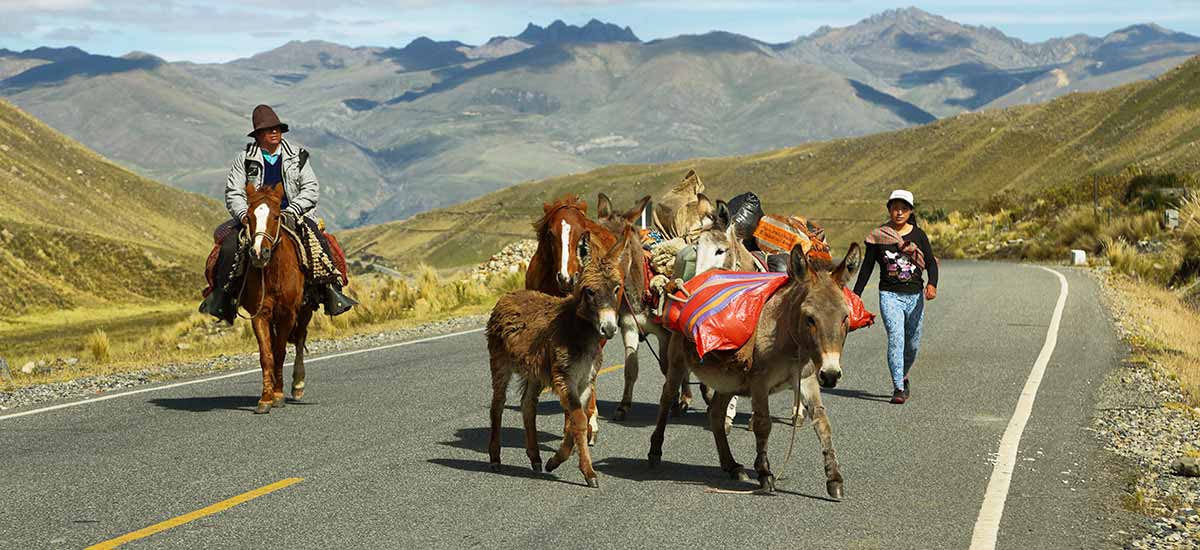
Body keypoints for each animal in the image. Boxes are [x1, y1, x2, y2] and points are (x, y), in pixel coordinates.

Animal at [237, 182, 312, 415]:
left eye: (277, 216)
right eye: (248, 217)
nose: (259, 253)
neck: (274, 273)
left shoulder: (288, 314)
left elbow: (279, 352)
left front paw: (278, 395)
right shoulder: (260, 314)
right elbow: (267, 355)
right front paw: (266, 398)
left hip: (304, 312)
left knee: (300, 340)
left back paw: (298, 385)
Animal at [484, 229, 628, 487]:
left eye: (616, 288)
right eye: (590, 291)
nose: (609, 329)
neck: (577, 328)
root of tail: (507, 295)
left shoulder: (585, 380)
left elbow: (577, 420)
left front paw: (554, 461)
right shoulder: (564, 377)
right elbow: (578, 420)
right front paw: (589, 473)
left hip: (535, 373)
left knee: (527, 405)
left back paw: (535, 459)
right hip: (500, 363)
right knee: (497, 405)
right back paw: (495, 459)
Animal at [652, 241, 859, 499]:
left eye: (845, 317)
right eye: (809, 318)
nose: (831, 375)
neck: (789, 339)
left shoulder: (808, 379)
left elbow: (822, 424)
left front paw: (834, 479)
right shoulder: (760, 382)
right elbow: (763, 424)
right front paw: (765, 474)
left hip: (727, 379)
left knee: (716, 413)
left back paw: (732, 466)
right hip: (678, 362)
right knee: (667, 397)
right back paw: (655, 451)